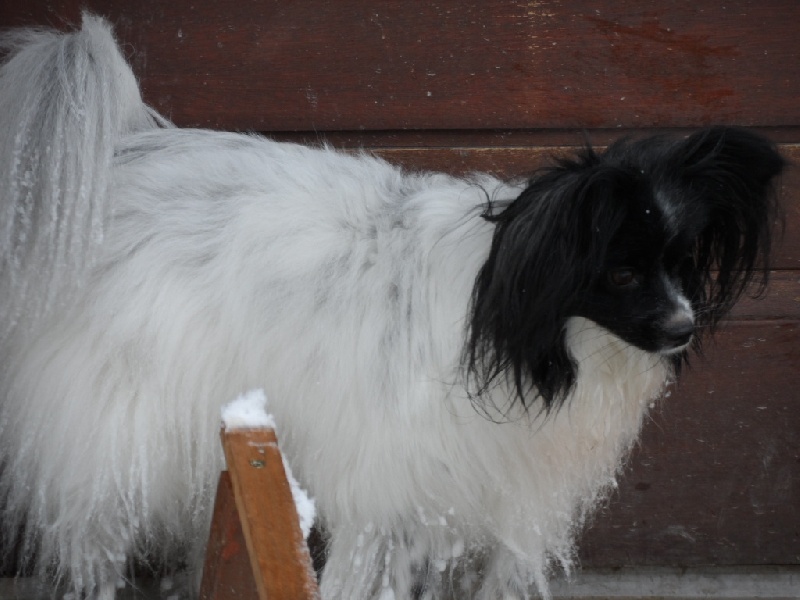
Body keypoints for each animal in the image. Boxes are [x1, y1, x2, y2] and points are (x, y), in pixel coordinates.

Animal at [0, 14, 788, 600]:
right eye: (621, 273)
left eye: (684, 266)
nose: (683, 330)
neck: (506, 310)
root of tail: (118, 159)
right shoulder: (395, 492)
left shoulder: (496, 498)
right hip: (114, 426)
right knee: (92, 538)